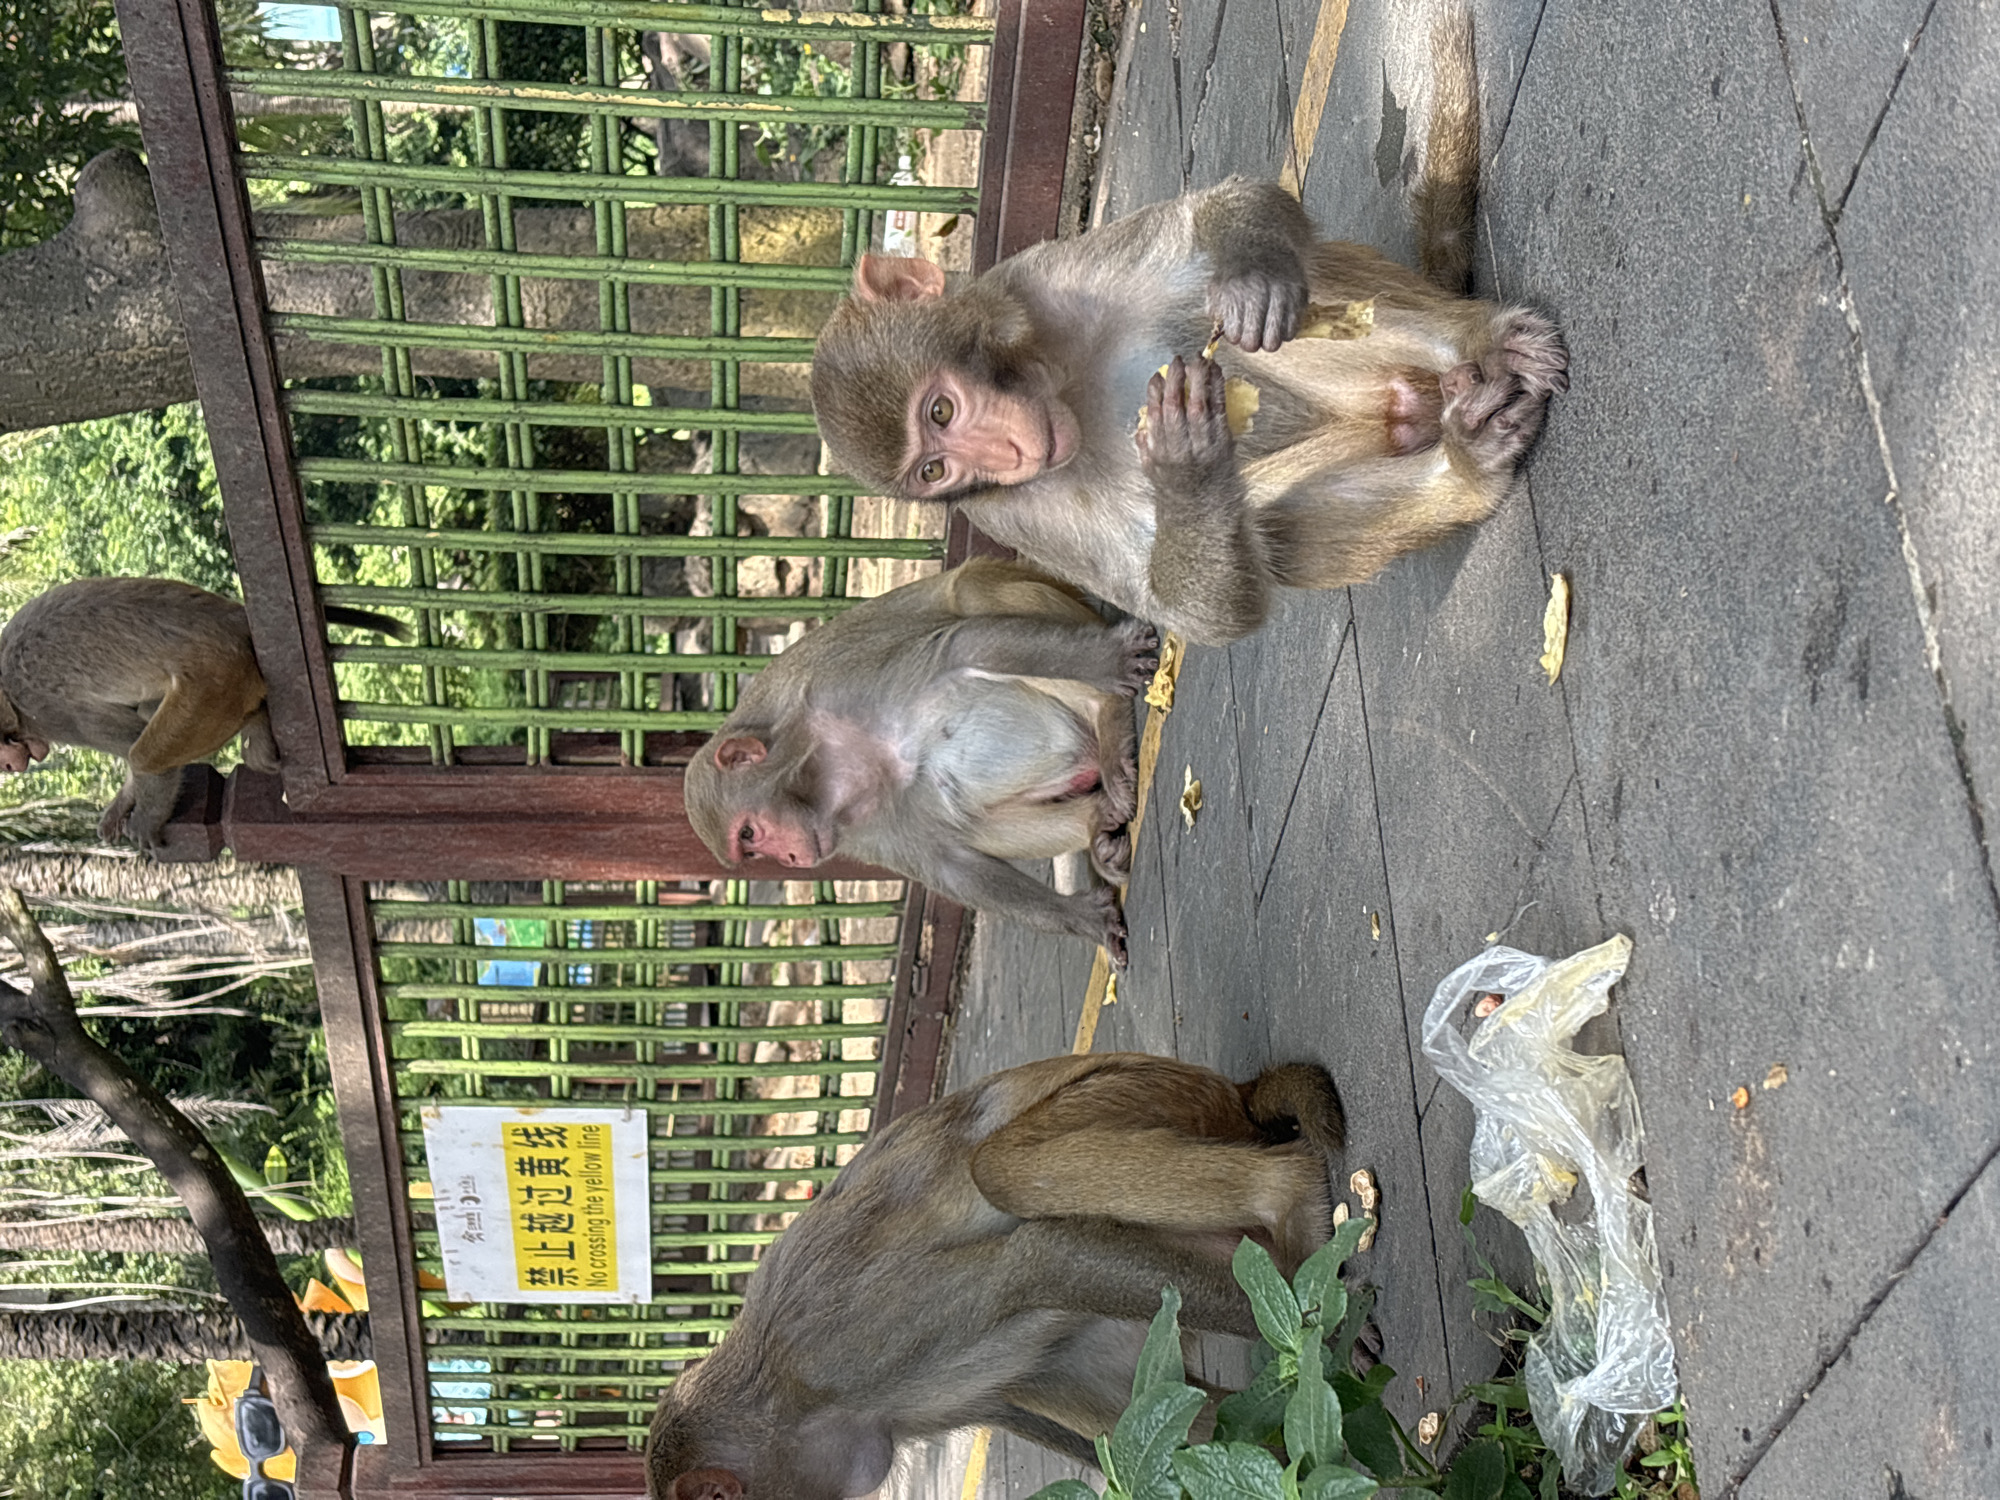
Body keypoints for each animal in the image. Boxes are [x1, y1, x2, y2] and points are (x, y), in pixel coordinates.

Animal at [0, 577, 408, 849]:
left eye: (3, 749)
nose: (10, 764)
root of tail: (232, 614)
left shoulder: (46, 709)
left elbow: (133, 749)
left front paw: (145, 817)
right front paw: (123, 803)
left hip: (217, 674)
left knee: (147, 749)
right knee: (148, 708)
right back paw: (257, 721)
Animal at [646, 1051, 1347, 1500]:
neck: (785, 1415)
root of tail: (1233, 1092)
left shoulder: (848, 1345)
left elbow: (1037, 1259)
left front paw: (1311, 1338)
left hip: (1142, 1091)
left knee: (1001, 1173)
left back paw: (1290, 1201)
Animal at [682, 559, 1158, 962]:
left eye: (748, 833)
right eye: (751, 849)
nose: (791, 860)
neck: (829, 770)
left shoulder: (842, 688)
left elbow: (960, 648)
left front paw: (1109, 665)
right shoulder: (852, 830)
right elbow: (948, 862)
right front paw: (1086, 919)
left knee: (968, 591)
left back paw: (1107, 714)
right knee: (962, 817)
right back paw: (1095, 823)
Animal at [809, 14, 1566, 646]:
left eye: (940, 410)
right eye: (936, 470)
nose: (1007, 455)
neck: (1059, 380)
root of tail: (1412, 408)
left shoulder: (1043, 278)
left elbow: (1209, 231)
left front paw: (1250, 274)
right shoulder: (1008, 514)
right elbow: (1192, 609)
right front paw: (1187, 474)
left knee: (1257, 307)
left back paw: (1477, 345)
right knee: (1276, 531)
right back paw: (1467, 469)